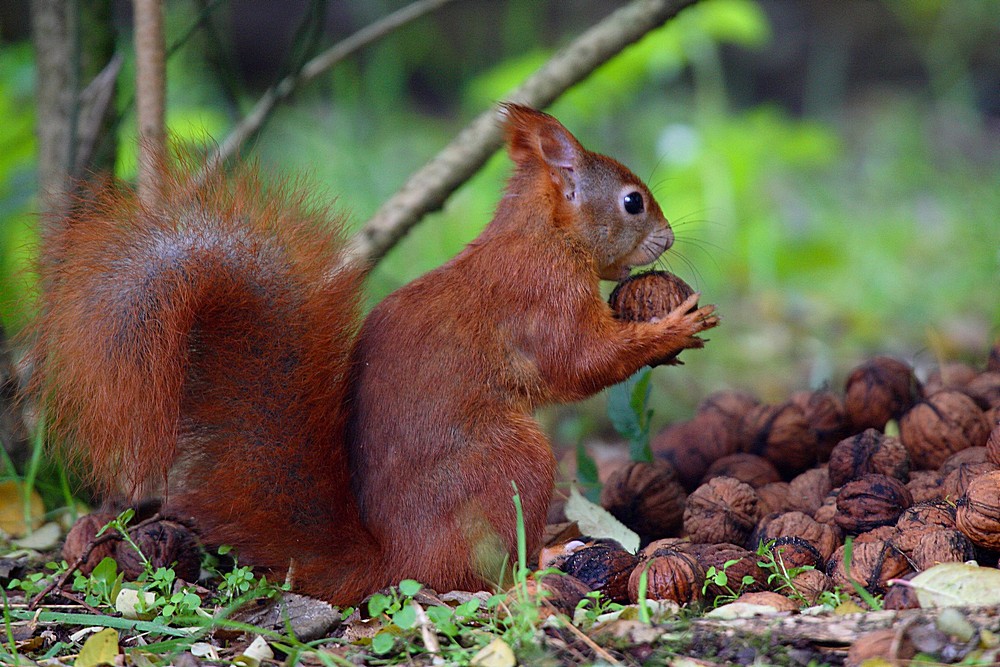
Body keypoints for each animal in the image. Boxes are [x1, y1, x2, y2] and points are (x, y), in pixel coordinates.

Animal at [31, 105, 720, 604]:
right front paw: (674, 328)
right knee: (477, 576)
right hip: (512, 461)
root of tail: (395, 562)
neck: (543, 236)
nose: (669, 238)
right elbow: (579, 363)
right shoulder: (541, 298)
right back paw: (542, 561)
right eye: (632, 201)